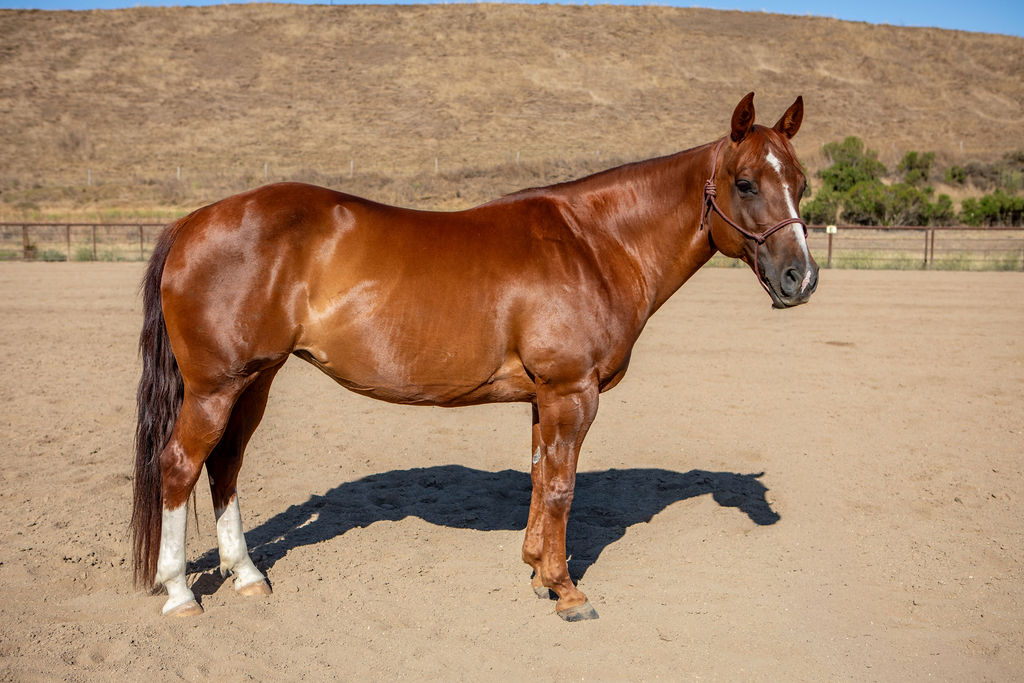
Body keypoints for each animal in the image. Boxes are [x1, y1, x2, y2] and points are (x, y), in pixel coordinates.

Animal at [132, 92, 818, 622]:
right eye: (746, 183)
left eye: (802, 184)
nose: (801, 279)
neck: (596, 241)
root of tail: (193, 222)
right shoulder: (571, 392)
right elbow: (563, 486)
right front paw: (568, 592)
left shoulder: (545, 397)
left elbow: (542, 478)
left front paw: (538, 573)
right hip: (216, 387)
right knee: (180, 466)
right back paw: (180, 593)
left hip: (255, 382)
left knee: (225, 466)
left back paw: (248, 576)